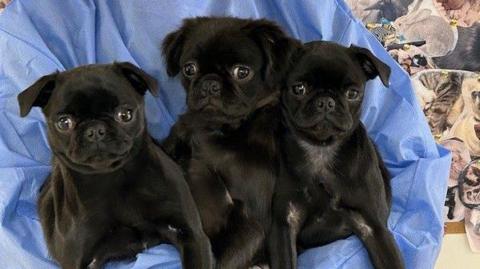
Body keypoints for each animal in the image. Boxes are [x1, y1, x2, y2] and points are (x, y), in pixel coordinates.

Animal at [17, 62, 212, 268]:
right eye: (64, 123)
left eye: (125, 115)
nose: (95, 130)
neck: (114, 179)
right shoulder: (82, 260)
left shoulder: (192, 236)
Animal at [270, 41, 404, 268]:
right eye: (299, 89)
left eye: (352, 93)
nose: (326, 101)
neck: (321, 150)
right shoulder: (286, 223)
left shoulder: (375, 228)